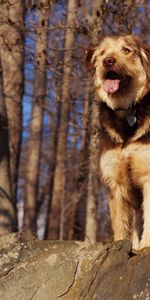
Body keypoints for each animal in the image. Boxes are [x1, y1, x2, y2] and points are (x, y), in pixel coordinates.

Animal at [85, 35, 150, 250]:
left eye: (126, 50)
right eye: (103, 53)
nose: (108, 61)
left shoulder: (148, 175)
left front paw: (146, 247)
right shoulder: (117, 182)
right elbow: (121, 225)